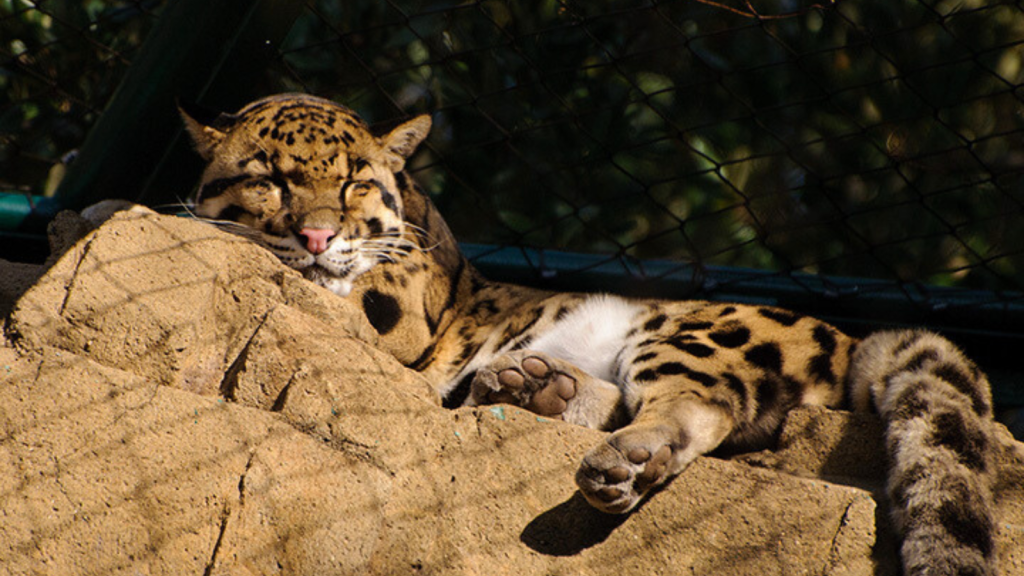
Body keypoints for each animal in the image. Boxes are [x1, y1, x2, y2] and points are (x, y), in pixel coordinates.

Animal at [182, 91, 999, 569]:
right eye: (270, 179)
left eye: (353, 183)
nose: (319, 237)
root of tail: (856, 339)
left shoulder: (389, 310)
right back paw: (531, 385)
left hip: (689, 332)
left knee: (699, 406)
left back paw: (618, 457)